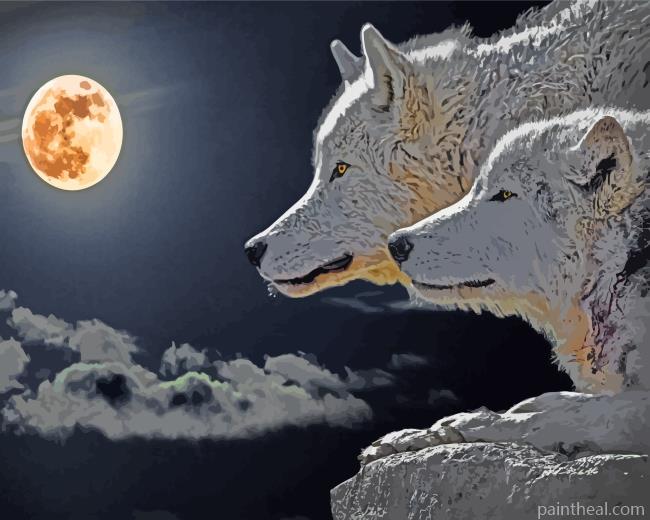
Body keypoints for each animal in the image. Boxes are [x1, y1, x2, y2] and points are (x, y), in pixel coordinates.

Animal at [360, 109, 650, 463]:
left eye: (505, 194)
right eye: (477, 189)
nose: (395, 244)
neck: (626, 265)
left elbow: (554, 416)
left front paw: (460, 426)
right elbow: (552, 401)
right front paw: (412, 436)